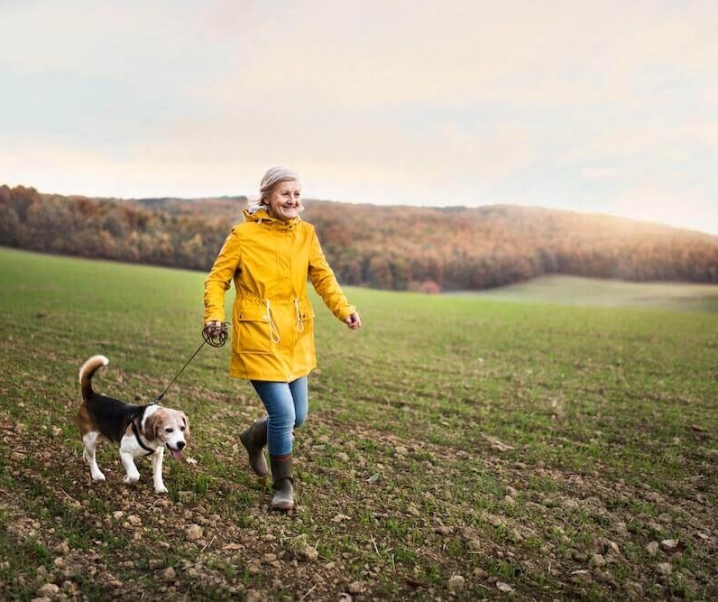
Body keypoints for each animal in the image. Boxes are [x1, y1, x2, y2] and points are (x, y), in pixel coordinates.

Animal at [77, 352, 190, 492]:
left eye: (182, 428)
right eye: (168, 430)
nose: (181, 444)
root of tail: (91, 396)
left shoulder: (158, 454)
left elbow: (157, 472)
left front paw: (159, 487)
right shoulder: (124, 452)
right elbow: (135, 475)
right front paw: (126, 480)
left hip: (98, 435)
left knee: (88, 452)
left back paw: (86, 458)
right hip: (90, 437)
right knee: (92, 458)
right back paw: (97, 474)